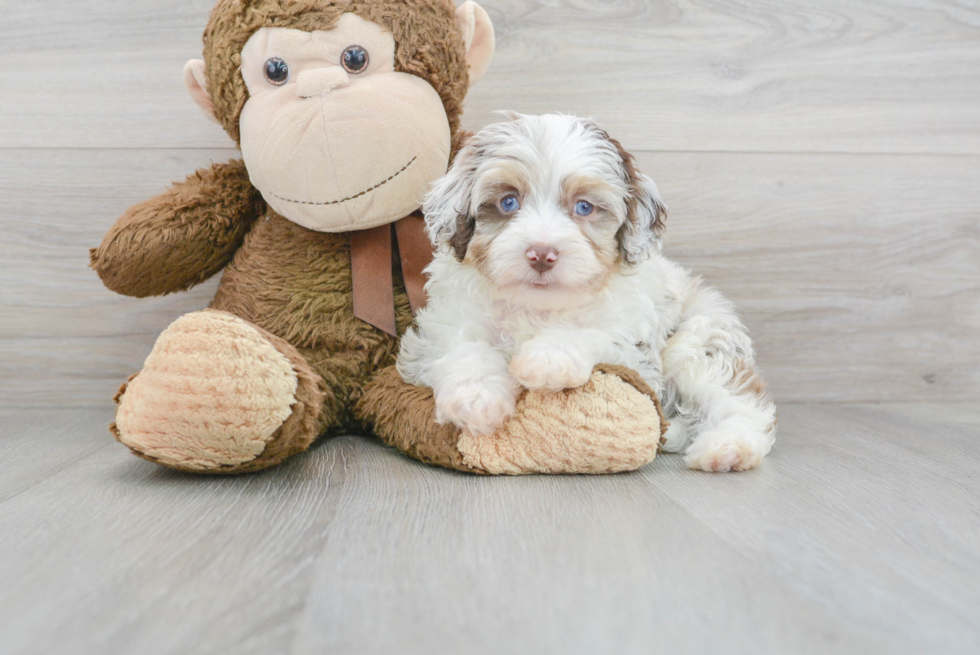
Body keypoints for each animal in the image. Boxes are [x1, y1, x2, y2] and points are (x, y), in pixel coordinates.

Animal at [394, 113, 776, 472]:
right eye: (508, 202)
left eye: (583, 207)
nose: (542, 254)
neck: (537, 307)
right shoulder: (440, 327)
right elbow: (462, 345)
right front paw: (476, 397)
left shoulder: (633, 352)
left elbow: (591, 332)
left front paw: (547, 357)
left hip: (698, 343)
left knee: (738, 401)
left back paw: (727, 448)